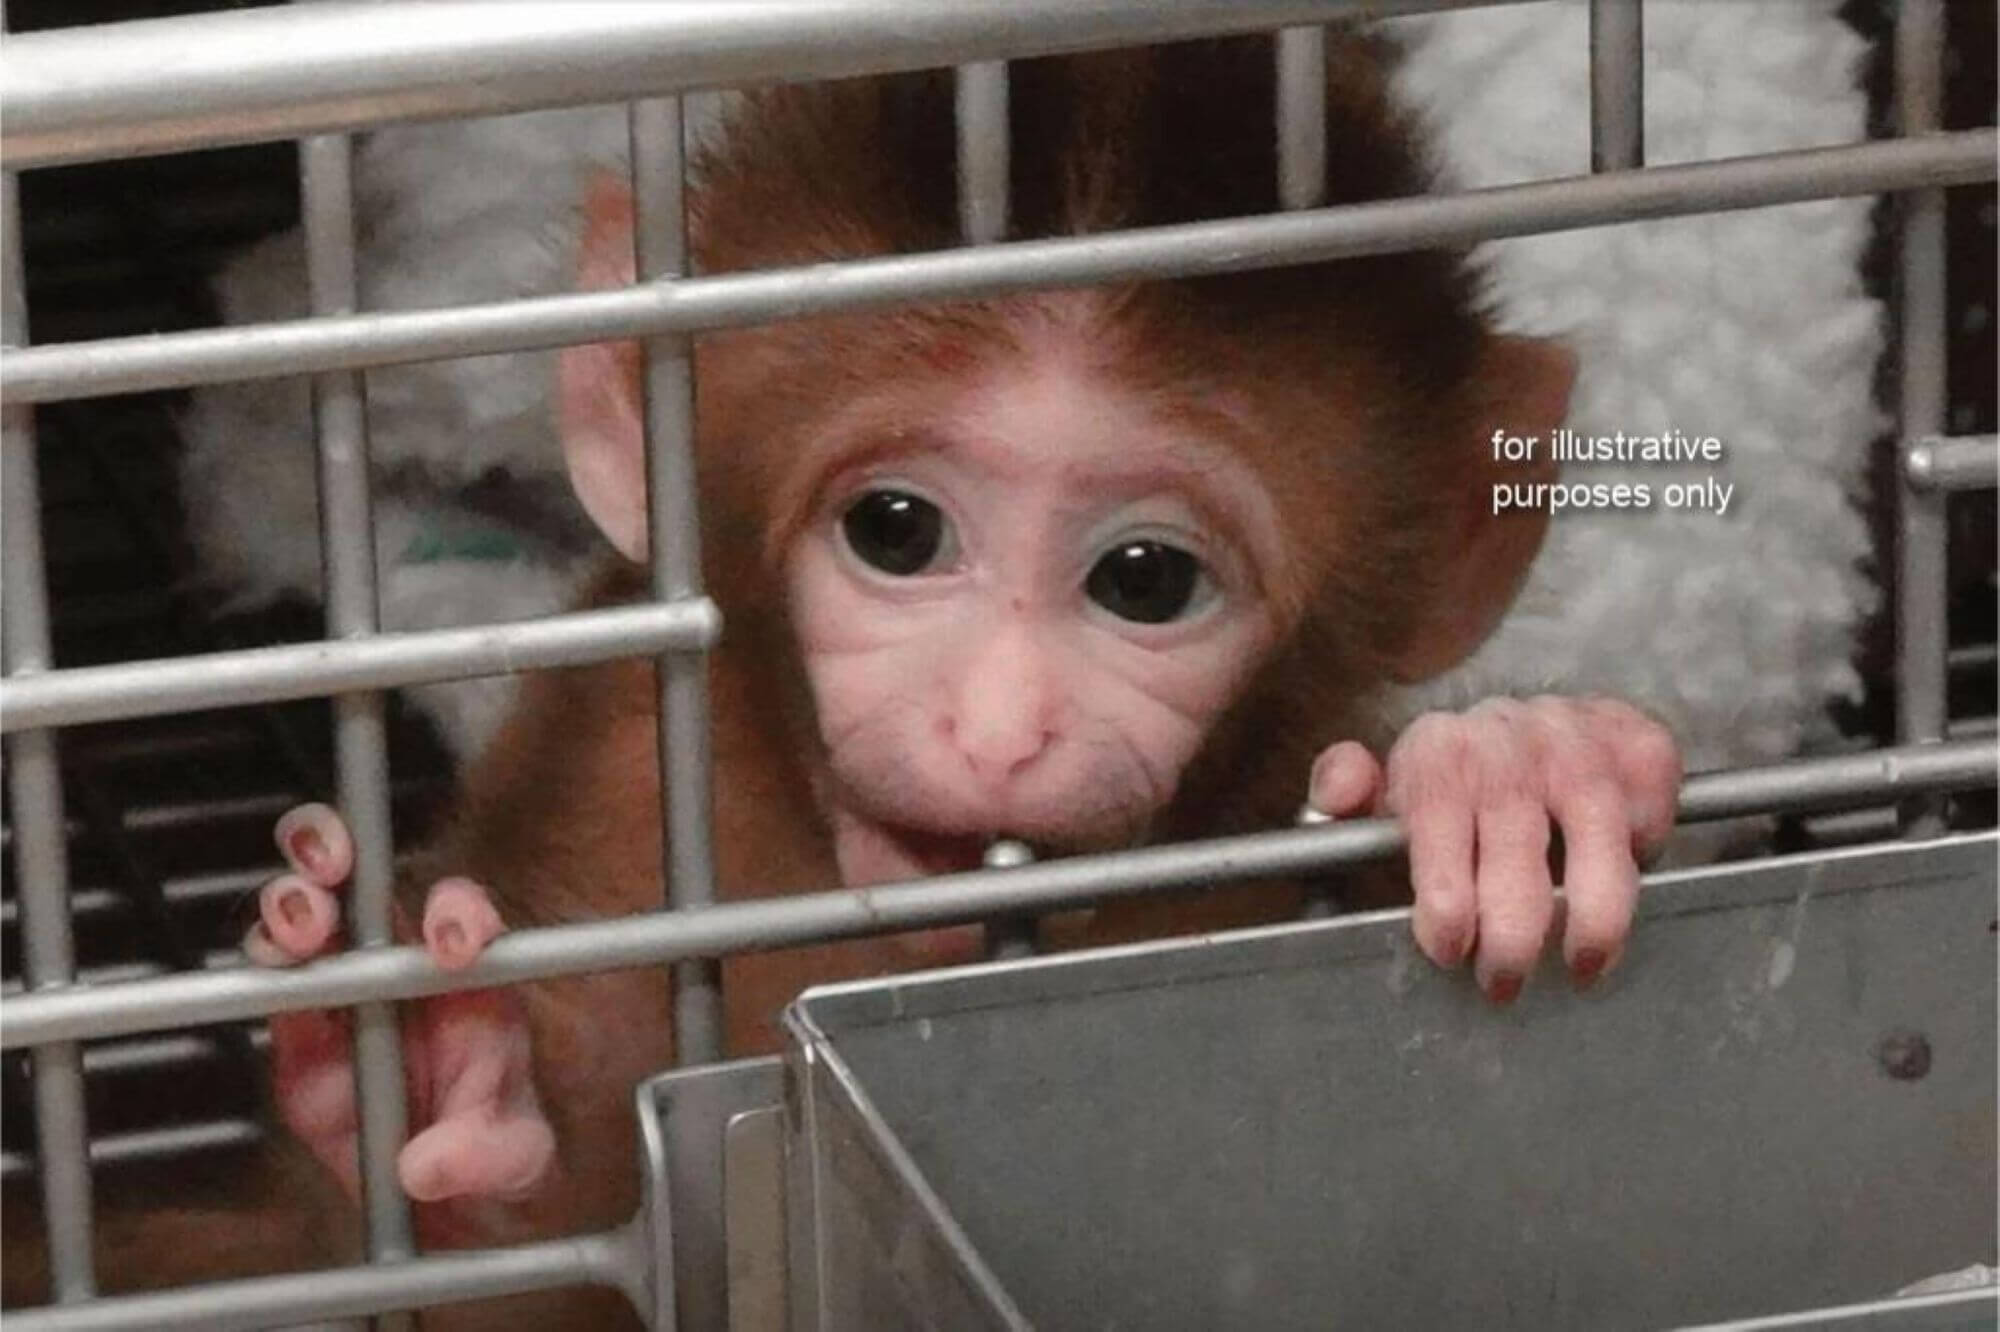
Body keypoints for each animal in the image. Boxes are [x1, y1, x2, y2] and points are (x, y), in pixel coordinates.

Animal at [4, 33, 1680, 1328]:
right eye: (896, 531)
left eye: (1147, 580)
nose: (997, 733)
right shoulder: (609, 778)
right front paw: (419, 1098)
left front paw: (1514, 781)